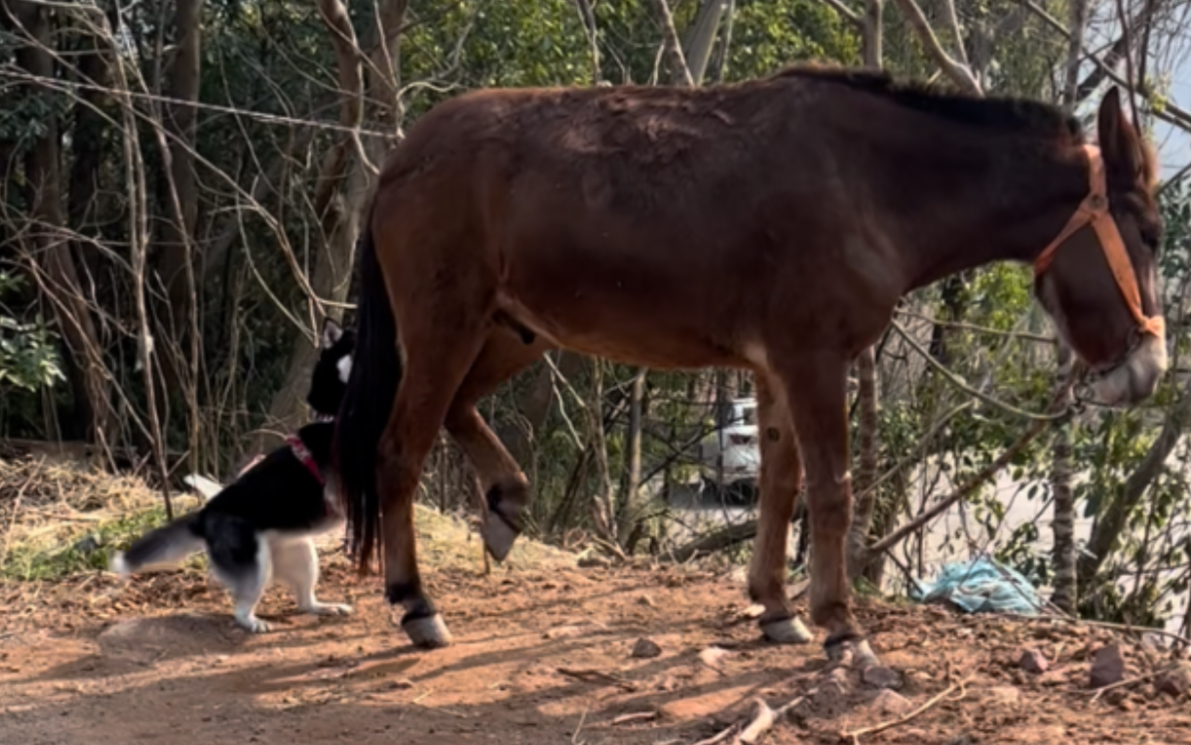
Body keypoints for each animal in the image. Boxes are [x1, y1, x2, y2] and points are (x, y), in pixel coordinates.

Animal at [110, 316, 354, 628]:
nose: (311, 400)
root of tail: (204, 516)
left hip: (301, 553)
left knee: (304, 600)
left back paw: (323, 606)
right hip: (257, 565)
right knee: (242, 608)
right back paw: (253, 622)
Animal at [331, 63, 1167, 656]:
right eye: (1152, 234)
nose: (1149, 371)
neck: (867, 183)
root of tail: (404, 154)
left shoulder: (773, 368)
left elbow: (777, 485)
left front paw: (775, 607)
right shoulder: (813, 359)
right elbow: (830, 491)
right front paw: (838, 621)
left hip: (510, 330)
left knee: (454, 409)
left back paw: (504, 502)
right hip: (445, 325)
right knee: (398, 447)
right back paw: (415, 602)